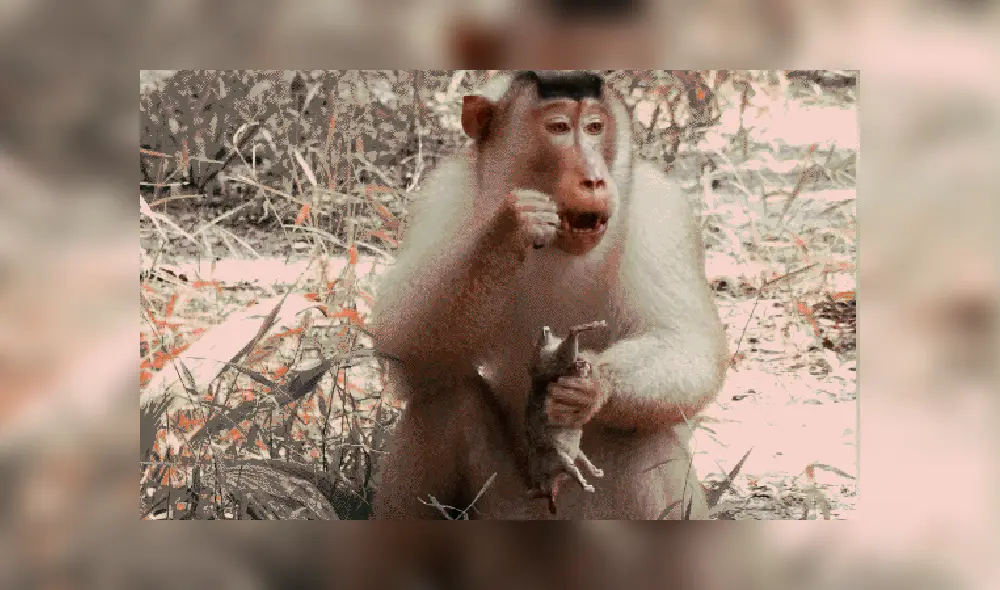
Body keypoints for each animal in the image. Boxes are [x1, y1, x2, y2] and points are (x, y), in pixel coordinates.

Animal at [526, 322, 607, 515]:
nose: (583, 363)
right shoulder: (565, 460)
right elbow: (578, 470)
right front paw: (587, 483)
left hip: (549, 360)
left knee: (566, 344)